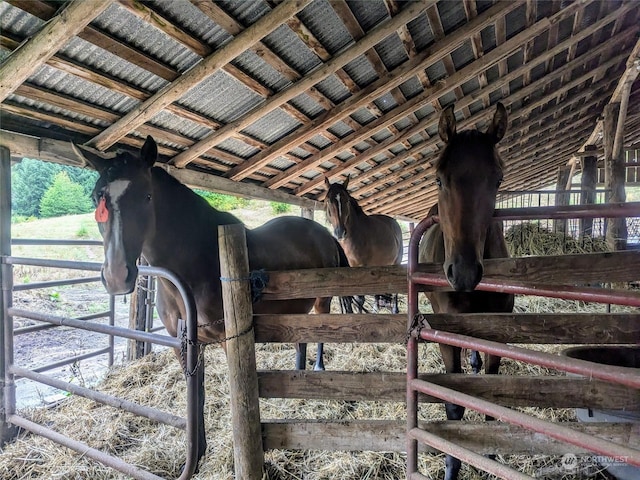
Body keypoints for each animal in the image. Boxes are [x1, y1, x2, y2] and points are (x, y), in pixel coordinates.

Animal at [322, 174, 402, 314]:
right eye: (328, 201)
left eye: (347, 201)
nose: (340, 232)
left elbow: (359, 299)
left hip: (396, 263)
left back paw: (394, 310)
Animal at [420, 102, 516, 480]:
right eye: (438, 178)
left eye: (497, 179)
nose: (462, 272)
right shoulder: (446, 333)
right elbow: (454, 406)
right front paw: (452, 466)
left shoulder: (497, 326)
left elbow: (489, 392)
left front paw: (489, 452)